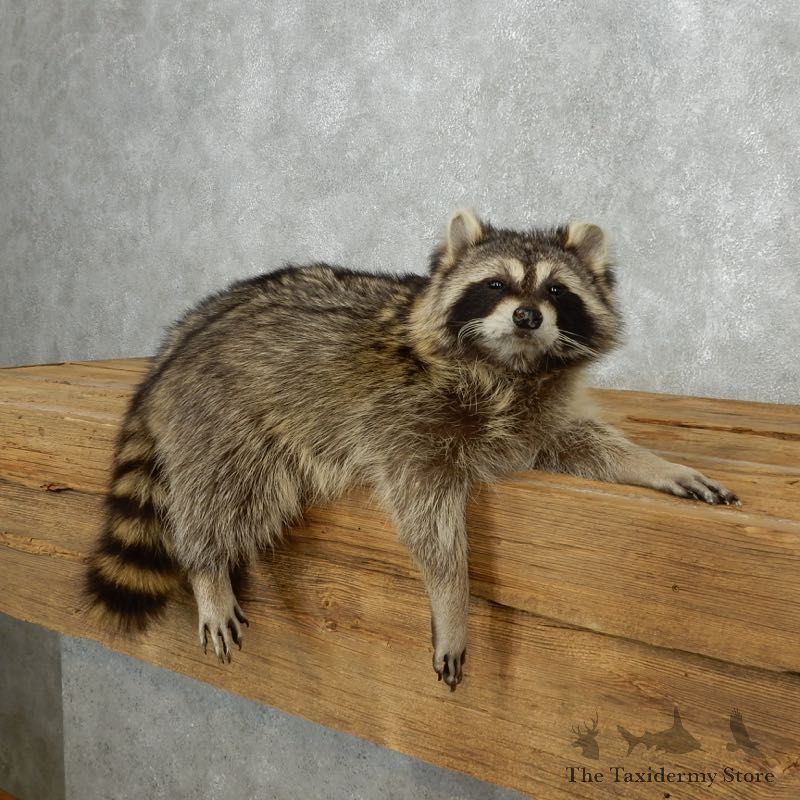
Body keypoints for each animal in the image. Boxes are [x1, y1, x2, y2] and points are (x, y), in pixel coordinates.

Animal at [86, 209, 738, 689]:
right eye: (495, 285)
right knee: (229, 492)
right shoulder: (406, 420)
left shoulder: (533, 418)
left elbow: (579, 443)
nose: (528, 316)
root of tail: (173, 353)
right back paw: (207, 566)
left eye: (557, 289)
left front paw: (655, 465)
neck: (508, 369)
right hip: (224, 415)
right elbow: (425, 511)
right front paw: (451, 596)